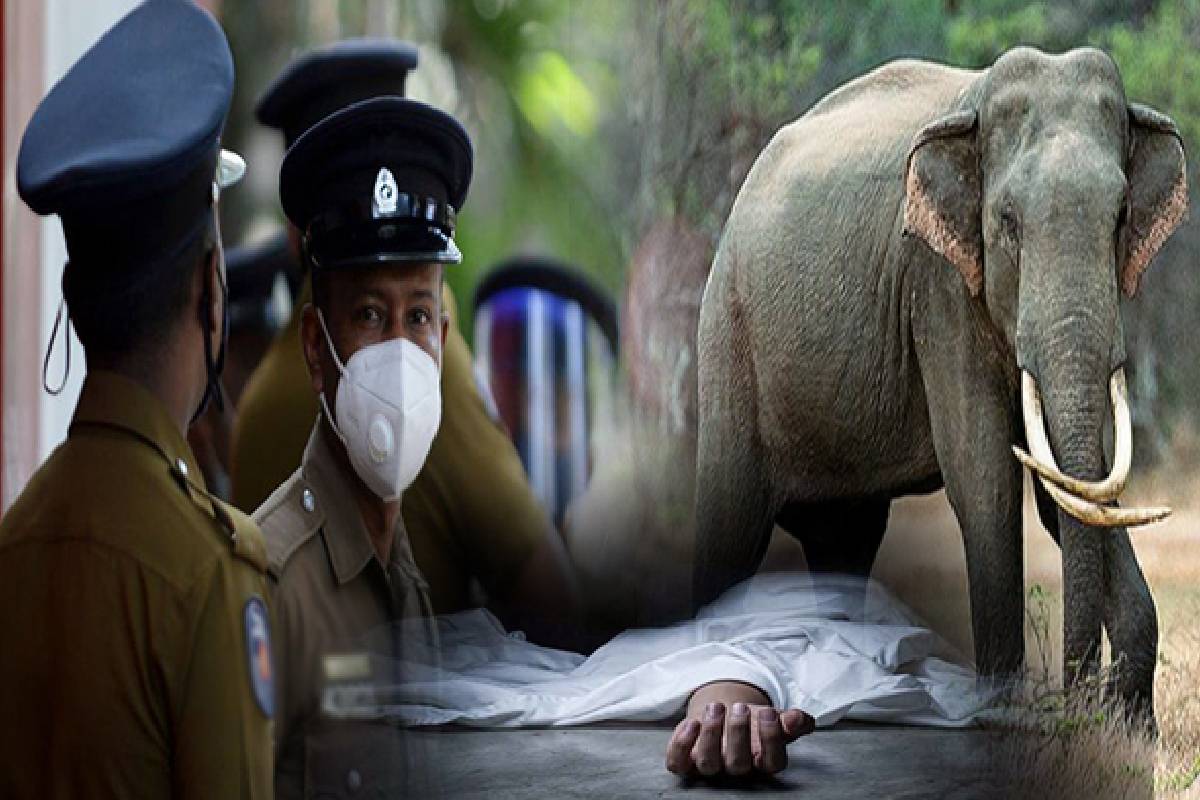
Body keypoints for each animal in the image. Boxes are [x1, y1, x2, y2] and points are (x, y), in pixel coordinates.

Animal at [693, 46, 1186, 720]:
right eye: (1008, 222)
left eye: (1120, 219)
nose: (1081, 694)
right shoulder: (937, 285)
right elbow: (986, 480)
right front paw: (1000, 719)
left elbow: (1070, 486)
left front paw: (1129, 728)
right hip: (728, 340)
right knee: (728, 531)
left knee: (844, 542)